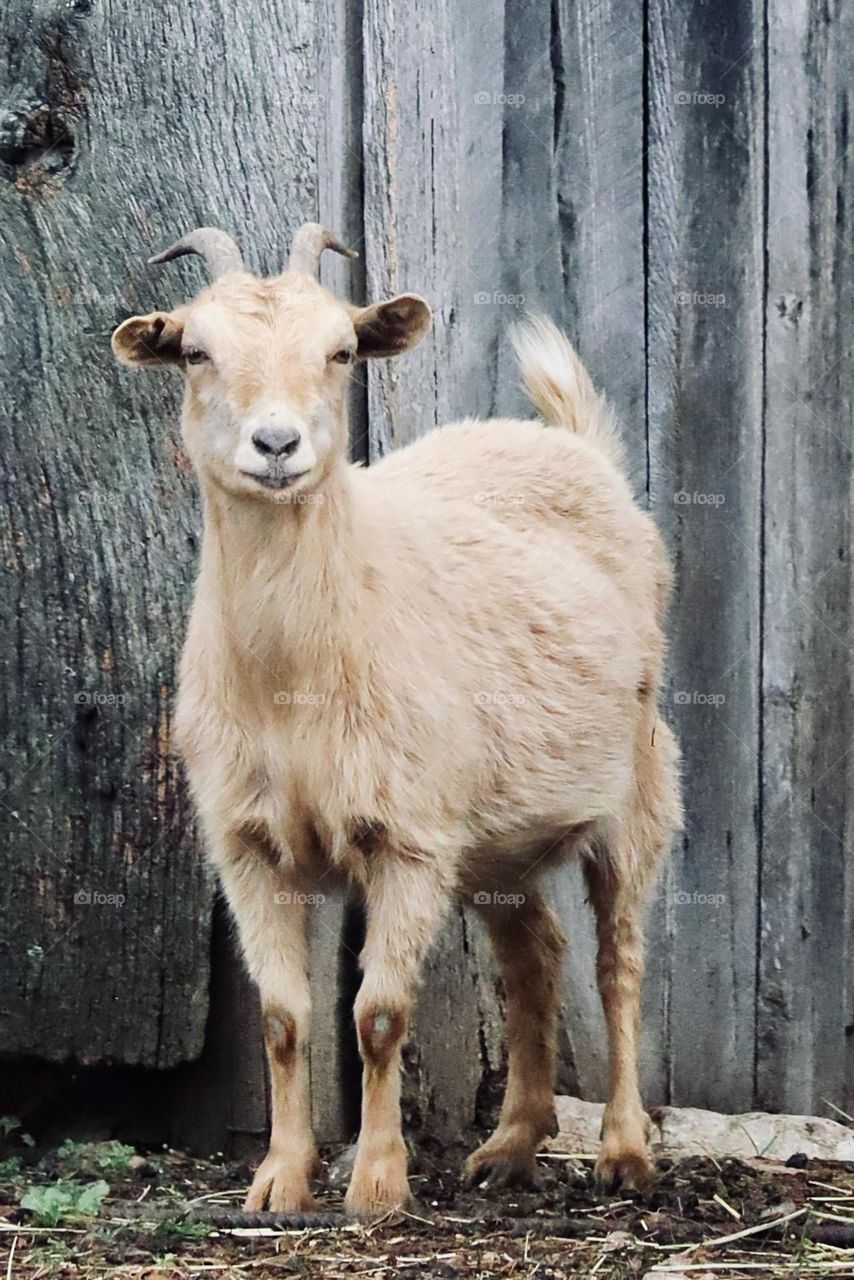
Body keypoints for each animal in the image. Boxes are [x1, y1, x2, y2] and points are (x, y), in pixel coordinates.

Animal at [112, 222, 682, 1217]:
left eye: (341, 351)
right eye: (195, 352)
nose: (276, 444)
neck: (293, 682)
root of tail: (580, 453)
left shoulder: (407, 838)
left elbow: (377, 1016)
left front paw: (376, 1183)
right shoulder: (250, 843)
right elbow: (284, 1017)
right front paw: (279, 1179)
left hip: (637, 784)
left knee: (619, 961)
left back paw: (623, 1151)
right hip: (492, 837)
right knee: (535, 951)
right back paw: (511, 1144)